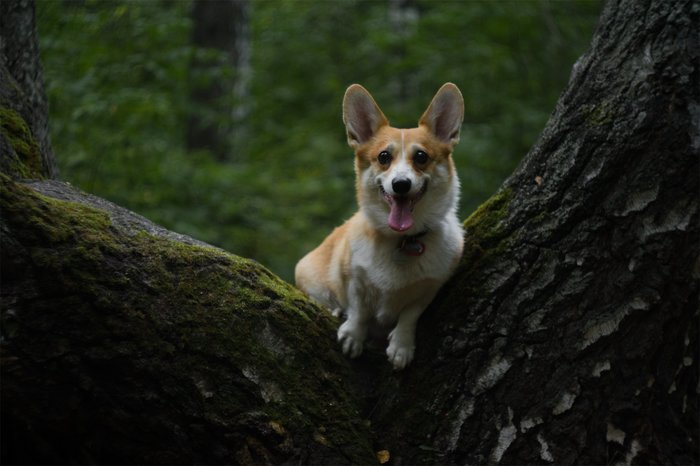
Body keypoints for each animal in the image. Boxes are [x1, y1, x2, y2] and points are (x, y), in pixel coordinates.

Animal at [296, 83, 464, 368]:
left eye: (421, 157)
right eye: (384, 156)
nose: (401, 184)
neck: (403, 238)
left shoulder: (430, 287)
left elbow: (410, 314)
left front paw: (401, 347)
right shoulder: (354, 277)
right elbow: (359, 309)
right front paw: (353, 336)